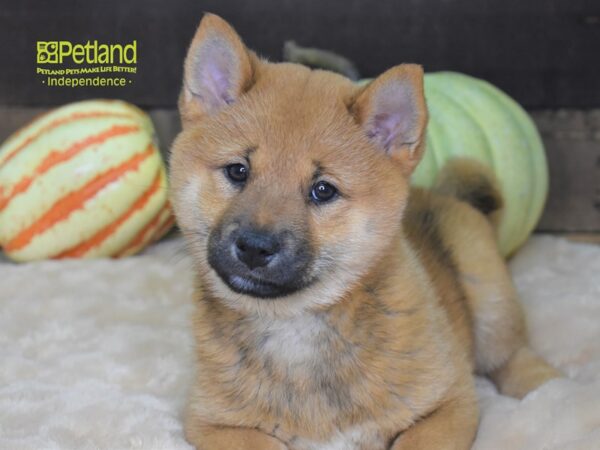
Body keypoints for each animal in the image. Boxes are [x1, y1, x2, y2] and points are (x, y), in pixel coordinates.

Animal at [170, 12, 564, 448]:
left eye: (323, 190)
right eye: (238, 171)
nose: (254, 247)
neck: (295, 325)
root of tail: (443, 195)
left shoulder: (450, 400)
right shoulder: (211, 422)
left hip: (489, 298)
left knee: (514, 356)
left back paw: (549, 390)